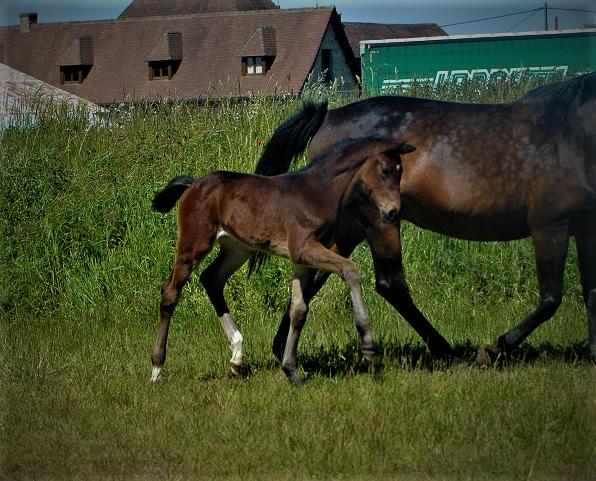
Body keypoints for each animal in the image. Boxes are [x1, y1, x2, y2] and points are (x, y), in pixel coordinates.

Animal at [150, 137, 416, 385]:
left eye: (401, 171)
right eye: (385, 170)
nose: (393, 212)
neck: (318, 192)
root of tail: (193, 184)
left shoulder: (301, 259)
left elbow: (298, 309)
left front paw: (292, 371)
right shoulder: (303, 248)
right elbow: (350, 270)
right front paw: (368, 345)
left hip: (238, 248)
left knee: (211, 279)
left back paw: (237, 355)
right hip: (194, 244)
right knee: (170, 291)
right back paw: (156, 368)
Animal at [254, 72, 596, 365]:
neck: (574, 132)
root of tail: (330, 116)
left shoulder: (586, 228)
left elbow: (590, 290)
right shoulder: (550, 224)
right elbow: (551, 298)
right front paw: (495, 349)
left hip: (349, 228)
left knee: (316, 275)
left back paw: (282, 348)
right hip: (380, 221)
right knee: (391, 285)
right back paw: (449, 354)